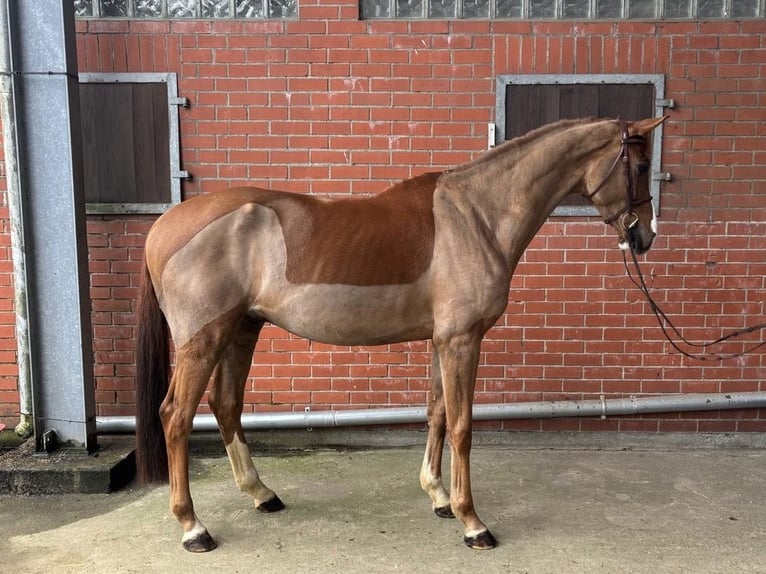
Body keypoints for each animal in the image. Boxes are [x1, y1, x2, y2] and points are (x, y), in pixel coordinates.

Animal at [135, 116, 667, 552]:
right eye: (642, 165)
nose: (645, 236)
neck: (477, 216)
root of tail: (163, 227)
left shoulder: (442, 340)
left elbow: (437, 413)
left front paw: (438, 497)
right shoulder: (462, 341)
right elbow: (462, 425)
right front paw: (472, 522)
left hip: (242, 330)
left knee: (225, 405)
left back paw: (261, 494)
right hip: (203, 340)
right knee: (176, 416)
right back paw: (193, 528)